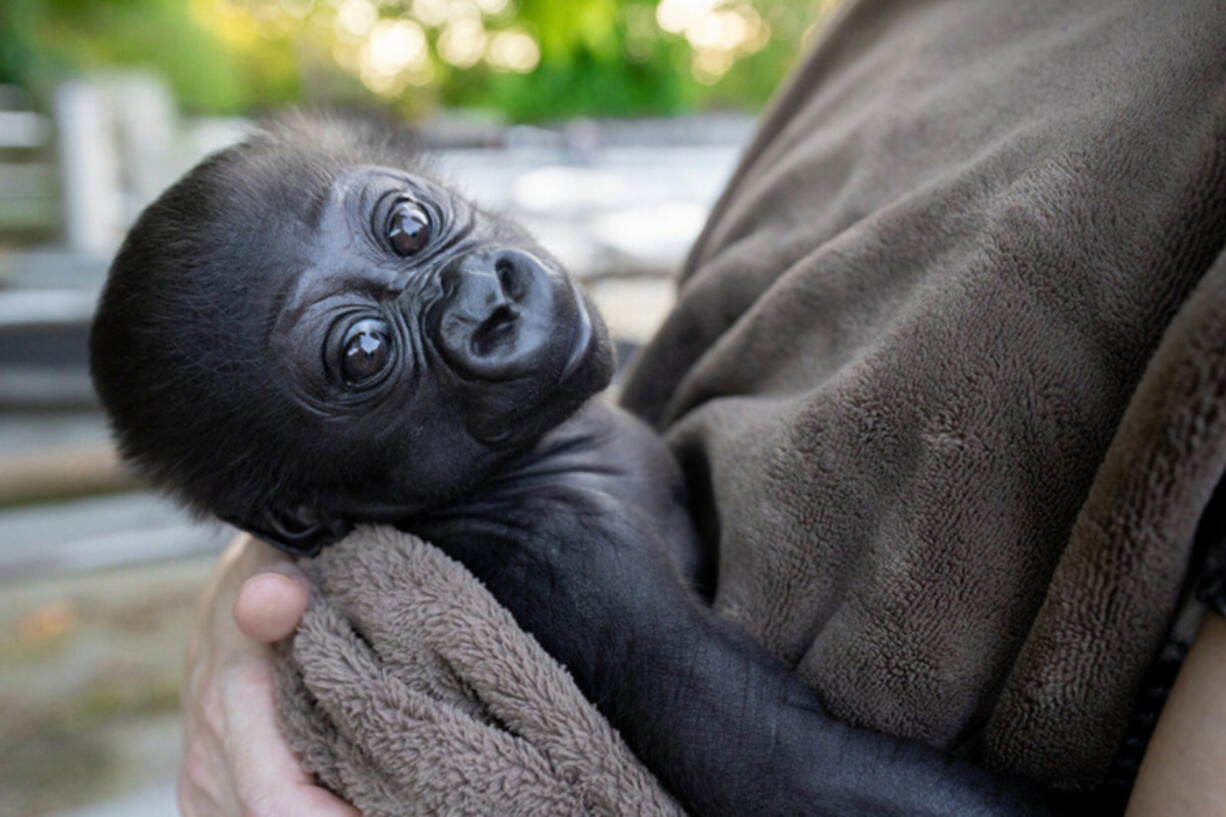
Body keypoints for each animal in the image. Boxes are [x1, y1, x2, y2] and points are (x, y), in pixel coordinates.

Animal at [93, 115, 1054, 814]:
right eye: (365, 352)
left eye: (407, 225)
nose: (487, 300)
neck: (540, 458)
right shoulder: (576, 558)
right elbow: (775, 758)